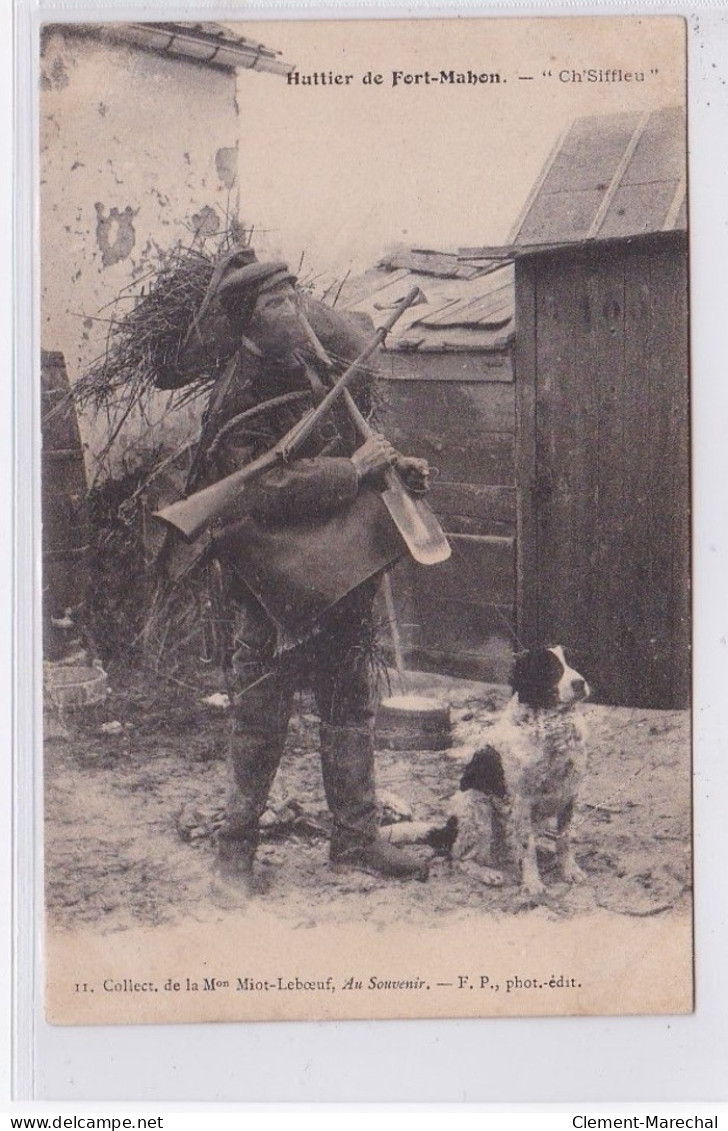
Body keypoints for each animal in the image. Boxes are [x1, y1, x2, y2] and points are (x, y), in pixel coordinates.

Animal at [461, 651, 592, 895]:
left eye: (573, 661)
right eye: (549, 668)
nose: (580, 683)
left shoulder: (569, 794)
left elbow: (564, 839)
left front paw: (569, 870)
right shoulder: (522, 801)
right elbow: (526, 847)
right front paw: (532, 882)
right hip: (479, 810)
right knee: (462, 859)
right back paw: (489, 874)